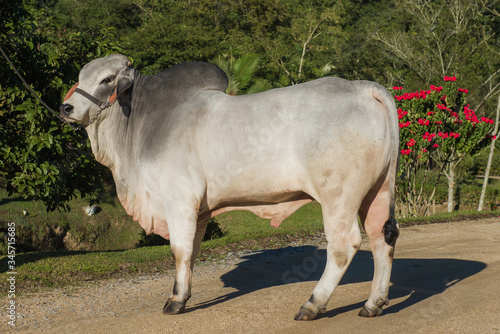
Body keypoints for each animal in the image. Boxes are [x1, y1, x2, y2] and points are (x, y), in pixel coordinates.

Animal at [59, 53, 402, 320]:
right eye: (79, 77)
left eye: (106, 79)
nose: (66, 109)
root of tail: (361, 87)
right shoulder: (199, 211)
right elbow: (192, 252)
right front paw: (183, 295)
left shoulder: (178, 201)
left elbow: (179, 250)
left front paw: (175, 301)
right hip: (378, 191)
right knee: (382, 237)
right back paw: (373, 303)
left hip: (338, 196)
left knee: (344, 245)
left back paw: (313, 304)